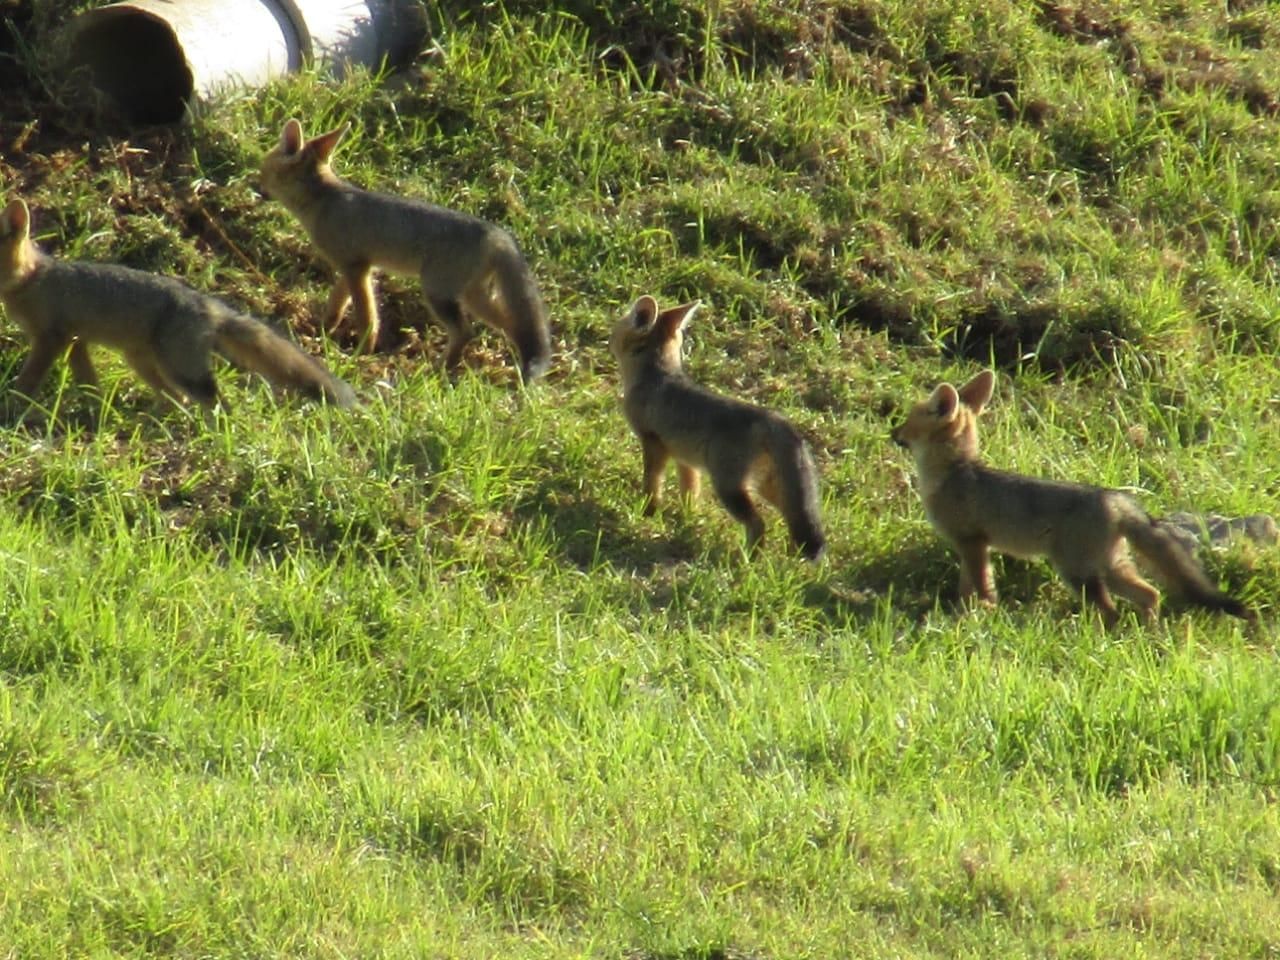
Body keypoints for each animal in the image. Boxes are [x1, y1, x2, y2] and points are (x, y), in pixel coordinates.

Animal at [0, 197, 356, 411]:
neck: (32, 279)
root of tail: (206, 303)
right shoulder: (74, 341)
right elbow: (88, 382)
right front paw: (95, 408)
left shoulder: (51, 338)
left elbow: (28, 380)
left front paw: (13, 407)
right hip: (145, 363)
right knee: (178, 400)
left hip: (180, 368)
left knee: (214, 402)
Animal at [259, 118, 552, 383]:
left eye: (262, 171)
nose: (254, 185)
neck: (324, 200)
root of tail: (496, 233)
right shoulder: (355, 266)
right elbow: (337, 305)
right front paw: (324, 329)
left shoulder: (357, 269)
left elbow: (367, 317)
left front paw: (362, 352)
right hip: (474, 298)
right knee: (512, 328)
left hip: (438, 294)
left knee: (466, 332)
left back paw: (439, 370)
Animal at [610, 295, 826, 560]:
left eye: (616, 328)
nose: (608, 338)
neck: (657, 374)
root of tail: (771, 417)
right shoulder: (685, 460)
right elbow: (689, 492)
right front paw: (688, 518)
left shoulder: (653, 444)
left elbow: (652, 484)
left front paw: (646, 512)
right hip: (769, 489)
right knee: (794, 520)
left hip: (728, 487)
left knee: (758, 523)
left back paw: (749, 560)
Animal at [890, 368, 1254, 625]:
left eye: (906, 421)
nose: (892, 433)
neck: (954, 471)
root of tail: (1114, 498)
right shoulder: (974, 547)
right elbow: (969, 587)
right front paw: (964, 615)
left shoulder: (972, 542)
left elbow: (981, 587)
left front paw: (979, 616)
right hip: (1110, 568)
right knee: (1150, 595)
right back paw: (1150, 635)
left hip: (1077, 573)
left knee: (1112, 611)